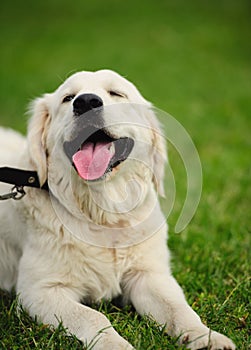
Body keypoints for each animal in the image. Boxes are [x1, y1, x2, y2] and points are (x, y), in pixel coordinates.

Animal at [0, 69, 235, 348]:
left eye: (116, 93)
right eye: (68, 98)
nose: (86, 102)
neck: (102, 214)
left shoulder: (149, 275)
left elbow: (179, 309)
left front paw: (207, 337)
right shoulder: (40, 290)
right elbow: (94, 317)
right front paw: (115, 344)